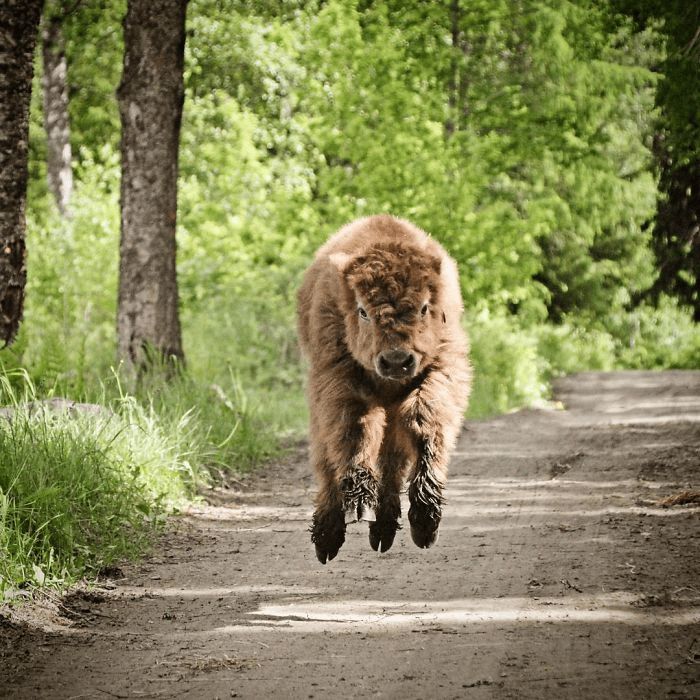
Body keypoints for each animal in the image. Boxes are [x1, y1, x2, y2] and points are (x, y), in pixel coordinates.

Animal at [296, 215, 470, 564]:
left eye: (424, 307)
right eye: (362, 310)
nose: (396, 361)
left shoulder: (441, 371)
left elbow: (426, 425)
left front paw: (426, 521)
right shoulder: (341, 383)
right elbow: (355, 434)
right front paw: (360, 503)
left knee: (393, 458)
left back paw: (385, 529)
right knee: (326, 459)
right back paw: (328, 536)